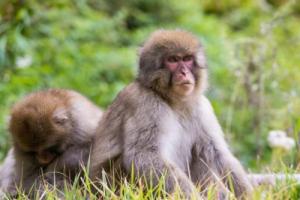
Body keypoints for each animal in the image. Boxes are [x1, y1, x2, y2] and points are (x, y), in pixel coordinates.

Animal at [89, 28, 253, 199]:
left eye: (187, 59)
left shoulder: (202, 107)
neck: (172, 101)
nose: (184, 72)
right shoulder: (145, 104)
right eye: (173, 60)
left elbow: (217, 153)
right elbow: (144, 155)